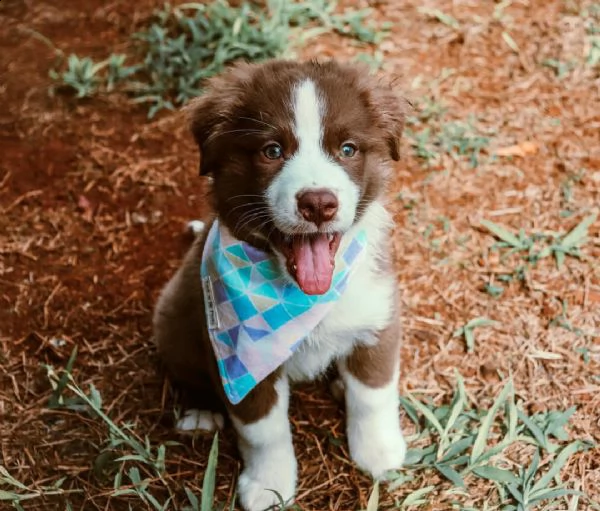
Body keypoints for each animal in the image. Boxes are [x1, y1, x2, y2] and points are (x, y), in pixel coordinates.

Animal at [155, 60, 408, 511]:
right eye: (272, 151)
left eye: (348, 149)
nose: (318, 203)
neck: (299, 297)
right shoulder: (241, 362)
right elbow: (264, 431)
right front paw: (269, 486)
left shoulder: (379, 319)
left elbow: (373, 393)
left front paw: (379, 453)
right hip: (175, 321)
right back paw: (201, 412)